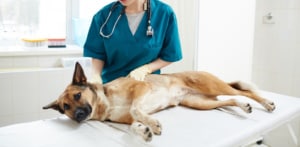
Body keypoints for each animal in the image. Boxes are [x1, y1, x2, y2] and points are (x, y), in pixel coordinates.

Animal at [43, 62, 276, 142]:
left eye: (77, 96)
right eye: (65, 108)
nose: (78, 116)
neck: (106, 101)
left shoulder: (141, 88)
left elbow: (136, 109)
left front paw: (152, 124)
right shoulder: (127, 120)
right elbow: (134, 124)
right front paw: (143, 130)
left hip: (212, 86)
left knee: (245, 91)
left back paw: (266, 103)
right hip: (200, 103)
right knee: (230, 100)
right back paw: (244, 107)